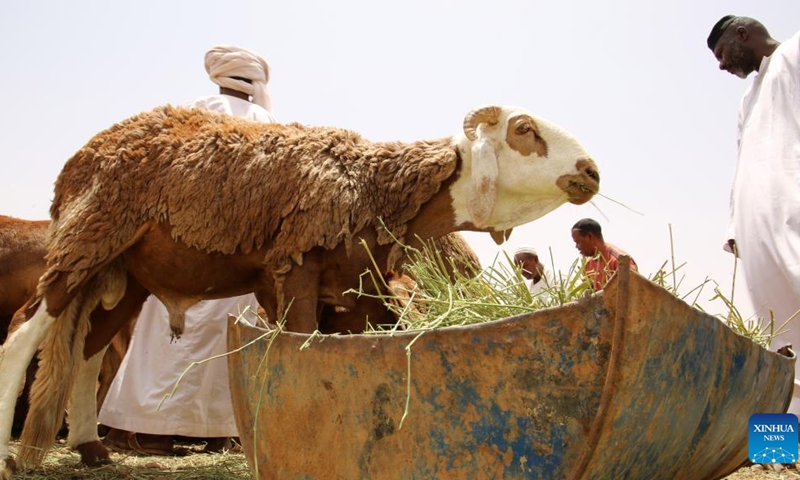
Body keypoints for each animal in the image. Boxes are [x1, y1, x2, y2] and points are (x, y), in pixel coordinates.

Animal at [0, 103, 599, 476]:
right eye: (524, 129)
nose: (592, 170)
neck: (373, 185)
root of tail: (82, 157)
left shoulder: (358, 293)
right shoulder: (295, 269)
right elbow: (301, 354)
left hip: (124, 272)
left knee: (88, 349)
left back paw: (90, 447)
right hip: (86, 241)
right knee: (23, 335)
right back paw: (18, 449)